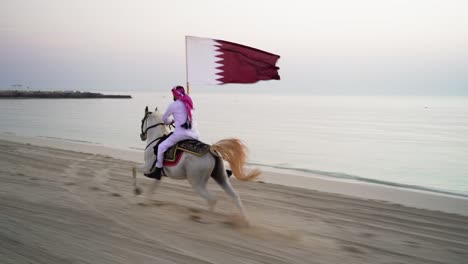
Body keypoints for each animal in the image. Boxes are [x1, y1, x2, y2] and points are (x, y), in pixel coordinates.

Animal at [133, 105, 262, 221]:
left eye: (142, 120)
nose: (141, 136)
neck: (156, 140)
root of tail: (211, 150)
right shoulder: (158, 175)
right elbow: (152, 188)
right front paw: (145, 201)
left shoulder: (148, 168)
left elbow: (134, 169)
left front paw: (137, 191)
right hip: (221, 177)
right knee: (234, 196)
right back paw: (245, 221)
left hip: (197, 183)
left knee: (212, 199)